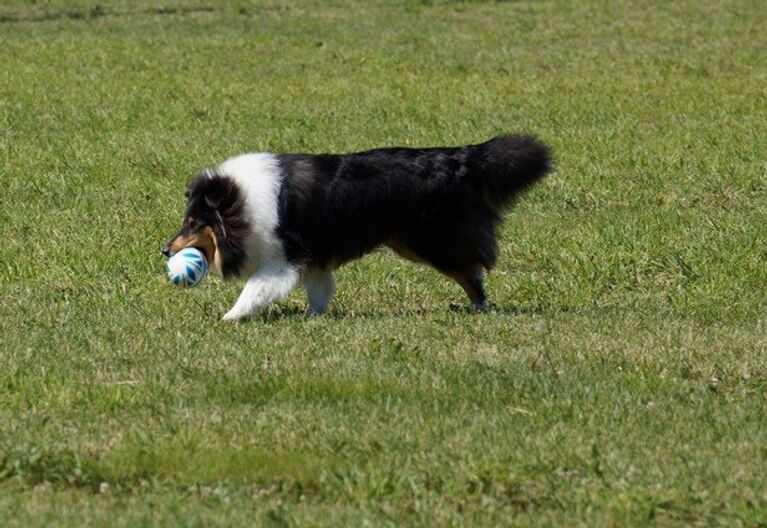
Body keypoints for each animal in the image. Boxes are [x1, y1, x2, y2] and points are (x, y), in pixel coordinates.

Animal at [164, 134, 552, 320]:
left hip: (426, 241)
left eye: (193, 222)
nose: (165, 250)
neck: (240, 204)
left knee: (472, 270)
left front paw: (230, 317)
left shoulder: (285, 256)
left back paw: (480, 307)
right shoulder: (314, 258)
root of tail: (459, 157)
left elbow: (255, 289)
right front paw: (313, 317)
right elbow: (319, 289)